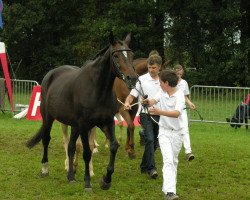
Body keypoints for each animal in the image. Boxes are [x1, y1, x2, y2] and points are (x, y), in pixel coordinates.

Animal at [26, 32, 138, 191]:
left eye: (132, 55)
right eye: (116, 56)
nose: (132, 79)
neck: (97, 89)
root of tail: (50, 75)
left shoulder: (106, 122)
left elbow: (113, 146)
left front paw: (106, 180)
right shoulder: (85, 125)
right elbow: (86, 152)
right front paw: (87, 183)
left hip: (74, 125)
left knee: (71, 146)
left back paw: (71, 177)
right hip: (49, 118)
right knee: (47, 139)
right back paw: (45, 169)